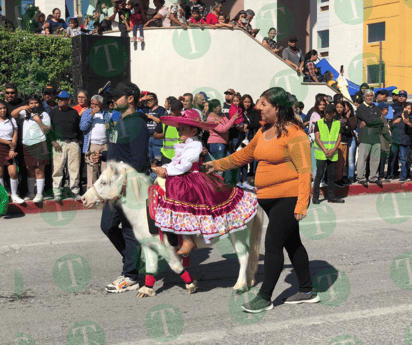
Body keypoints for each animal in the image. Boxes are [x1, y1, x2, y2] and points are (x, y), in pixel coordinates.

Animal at [82, 160, 264, 296]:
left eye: (103, 182)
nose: (83, 199)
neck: (143, 211)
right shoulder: (149, 245)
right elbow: (151, 267)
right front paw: (146, 290)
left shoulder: (166, 247)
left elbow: (176, 266)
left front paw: (191, 284)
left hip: (238, 234)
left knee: (243, 257)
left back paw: (240, 285)